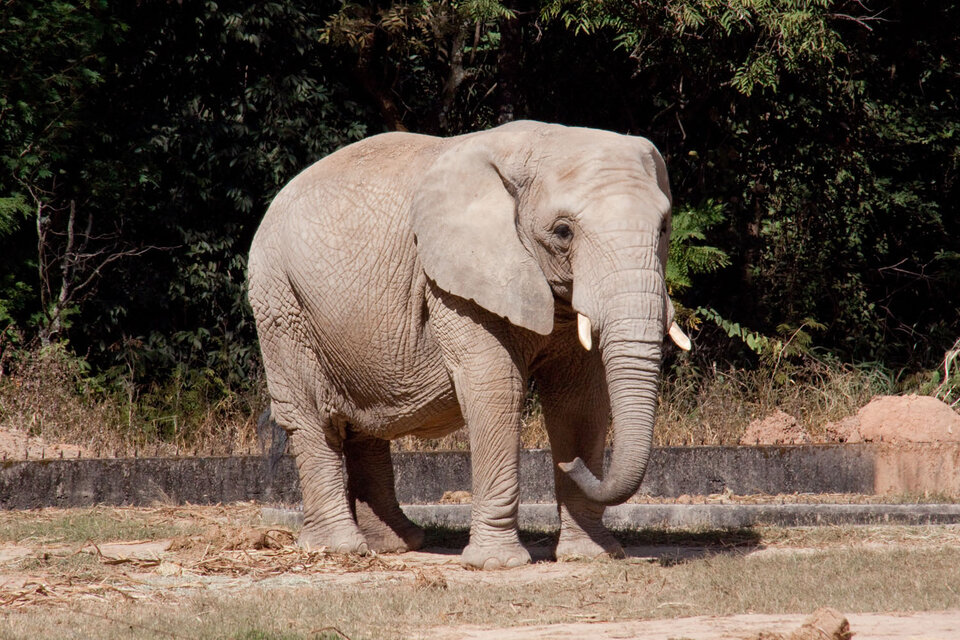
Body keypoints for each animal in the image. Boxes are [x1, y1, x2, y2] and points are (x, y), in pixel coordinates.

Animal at [247, 120, 690, 570]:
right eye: (563, 232)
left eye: (664, 227)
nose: (573, 464)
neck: (540, 142)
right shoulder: (452, 283)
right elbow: (496, 386)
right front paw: (497, 564)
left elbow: (579, 399)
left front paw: (592, 555)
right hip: (279, 302)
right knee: (309, 417)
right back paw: (340, 548)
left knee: (365, 423)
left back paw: (397, 544)